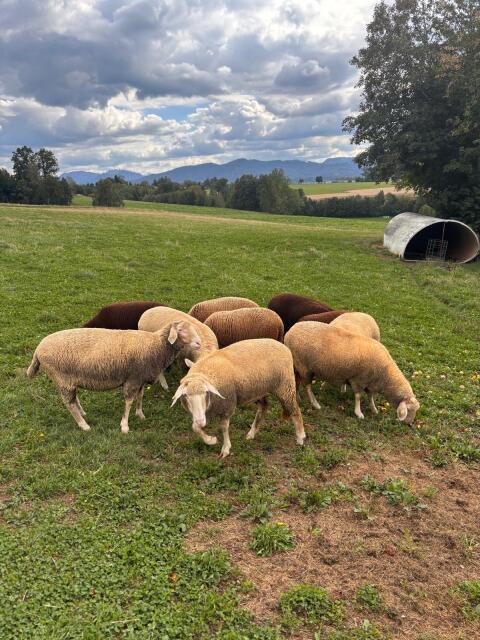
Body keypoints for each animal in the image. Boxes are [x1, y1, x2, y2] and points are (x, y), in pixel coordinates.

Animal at [27, 321, 201, 433]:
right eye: (181, 331)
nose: (199, 343)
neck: (156, 346)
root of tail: (37, 350)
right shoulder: (132, 379)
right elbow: (129, 401)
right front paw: (124, 426)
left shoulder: (141, 378)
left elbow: (140, 397)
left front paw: (140, 415)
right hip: (62, 379)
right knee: (69, 404)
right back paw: (84, 425)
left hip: (68, 380)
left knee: (74, 400)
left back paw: (83, 414)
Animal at [171, 339, 306, 458]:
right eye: (186, 396)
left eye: (205, 393)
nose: (200, 421)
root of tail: (284, 346)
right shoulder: (207, 411)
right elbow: (195, 428)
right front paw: (211, 440)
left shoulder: (227, 405)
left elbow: (224, 427)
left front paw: (225, 449)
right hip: (258, 390)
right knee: (264, 407)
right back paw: (252, 433)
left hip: (285, 386)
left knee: (295, 410)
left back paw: (300, 437)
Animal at [284, 322, 419, 423]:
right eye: (409, 410)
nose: (410, 424)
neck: (385, 375)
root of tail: (290, 331)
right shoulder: (358, 380)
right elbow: (358, 397)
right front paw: (359, 413)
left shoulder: (369, 382)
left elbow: (370, 396)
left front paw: (374, 409)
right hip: (304, 366)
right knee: (307, 386)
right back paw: (315, 404)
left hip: (296, 365)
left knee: (297, 380)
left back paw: (298, 397)